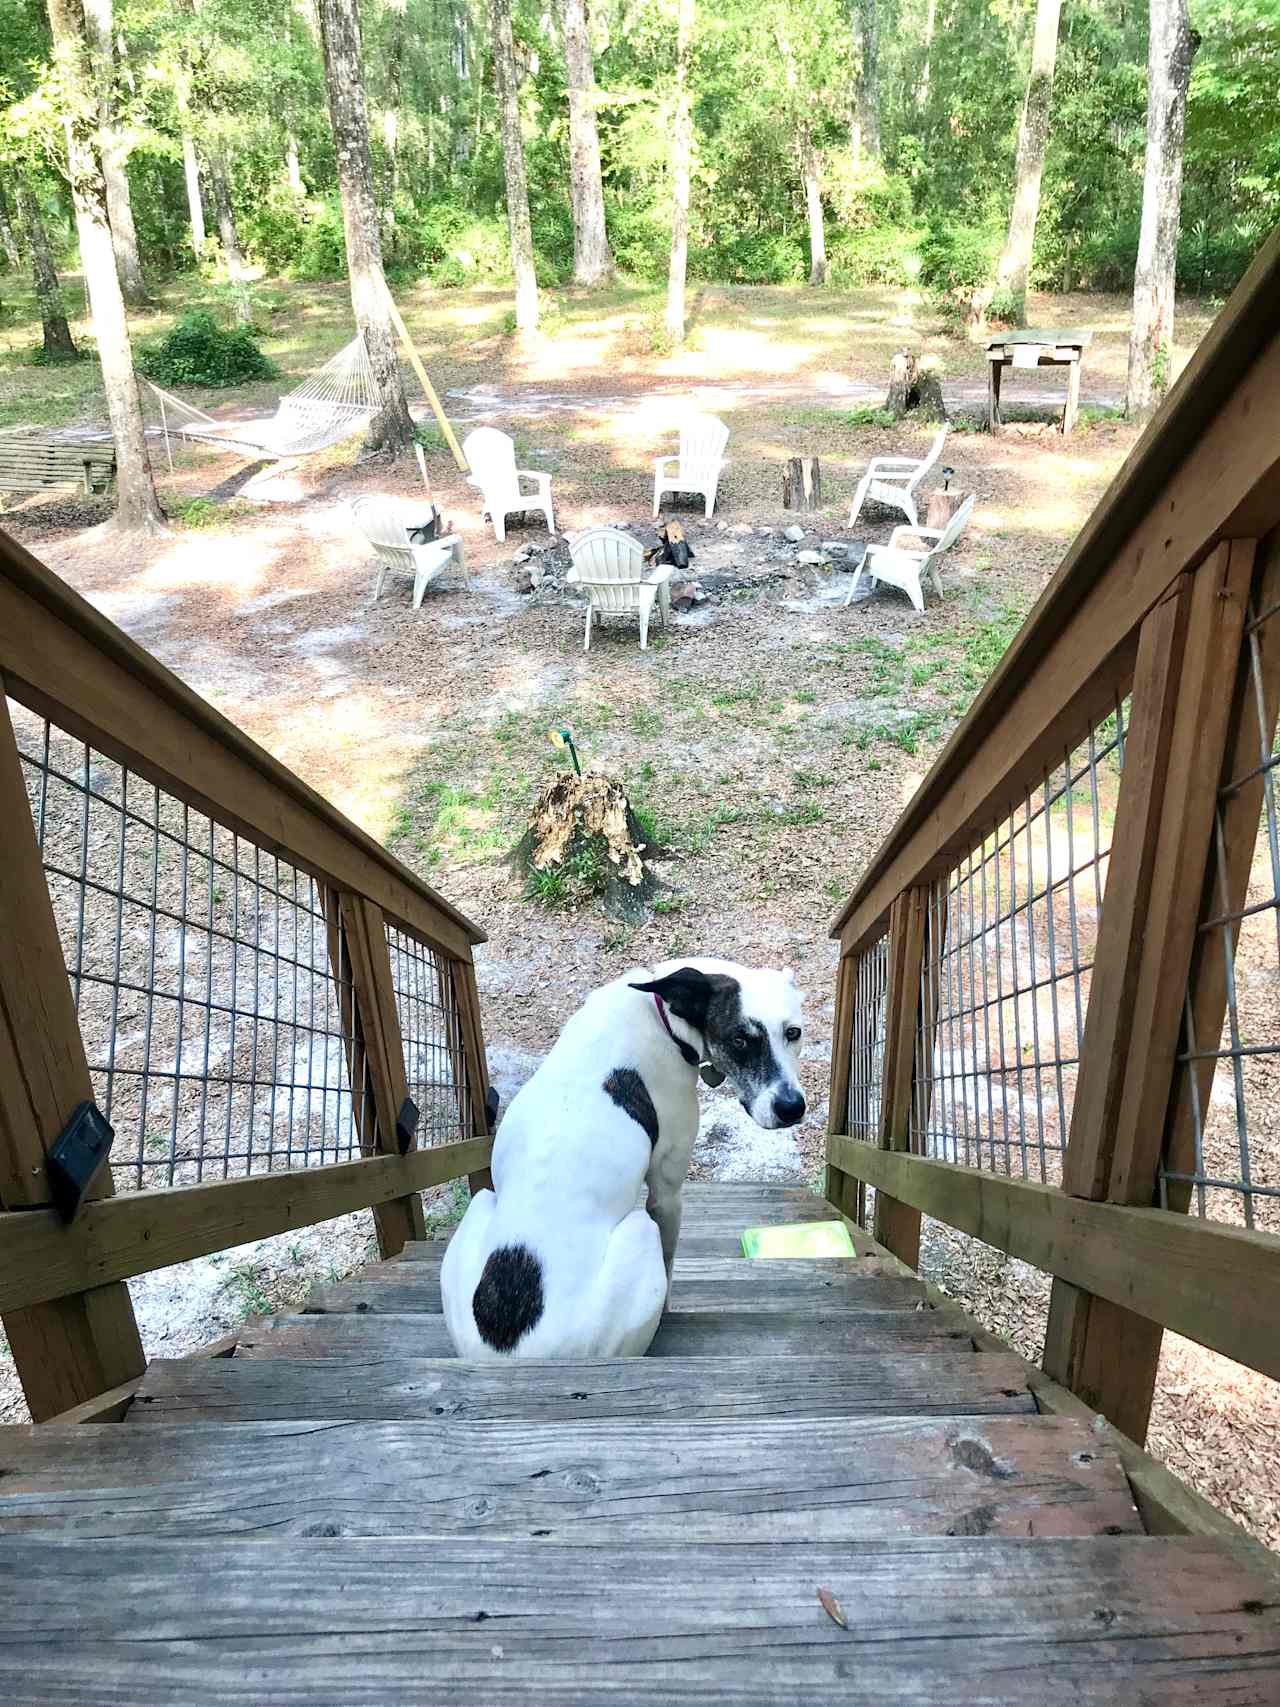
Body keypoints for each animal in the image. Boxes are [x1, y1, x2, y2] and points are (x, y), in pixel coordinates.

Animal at [440, 962, 802, 1358]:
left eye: (793, 1033)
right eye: (740, 1040)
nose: (792, 1108)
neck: (658, 1009)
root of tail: (520, 1355)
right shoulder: (666, 1193)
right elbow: (670, 1258)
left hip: (479, 1206)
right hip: (640, 1232)